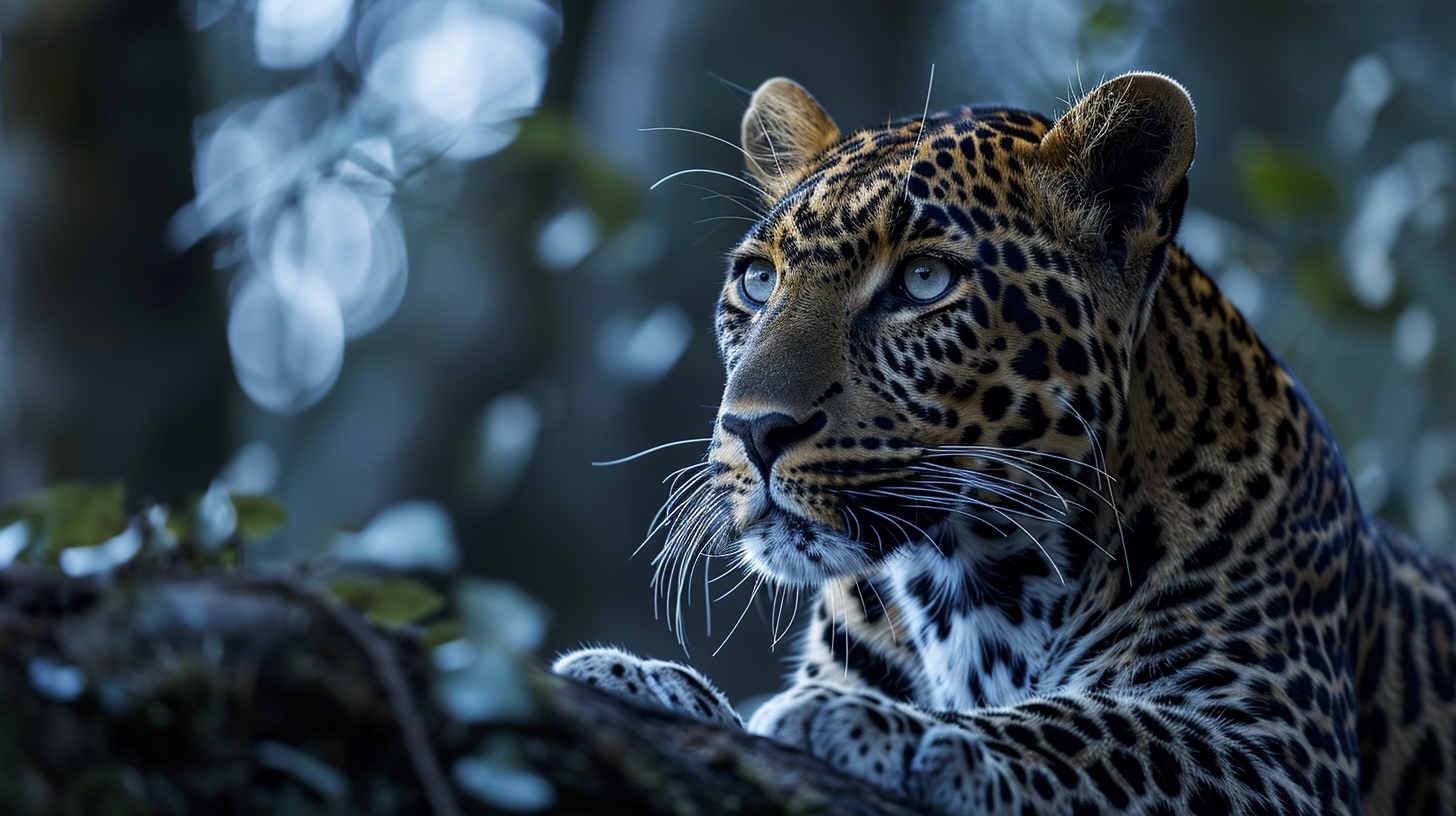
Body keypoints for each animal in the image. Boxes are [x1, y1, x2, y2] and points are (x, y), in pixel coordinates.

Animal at [554, 72, 1456, 815]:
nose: (752, 430)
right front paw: (637, 679)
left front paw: (889, 730)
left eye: (923, 281)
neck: (971, 583)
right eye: (758, 280)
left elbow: (1088, 730)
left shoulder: (1272, 744)